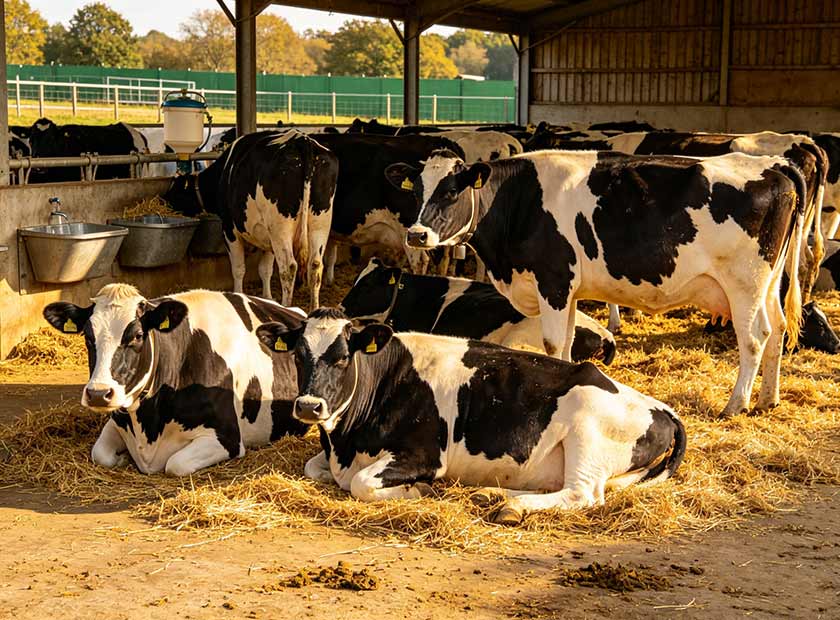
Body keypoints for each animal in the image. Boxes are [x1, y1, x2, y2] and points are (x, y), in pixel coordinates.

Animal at [42, 284, 307, 476]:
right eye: (87, 336)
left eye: (137, 335)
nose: (98, 393)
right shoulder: (117, 420)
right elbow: (101, 454)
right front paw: (121, 458)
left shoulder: (227, 437)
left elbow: (175, 464)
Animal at [163, 130, 338, 309]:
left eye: (175, 192)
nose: (164, 202)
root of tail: (302, 141)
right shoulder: (268, 238)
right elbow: (265, 269)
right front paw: (267, 298)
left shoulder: (229, 230)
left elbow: (239, 268)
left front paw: (239, 294)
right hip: (320, 223)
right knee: (315, 265)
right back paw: (313, 308)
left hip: (280, 228)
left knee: (289, 267)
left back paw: (287, 306)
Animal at [255, 308, 685, 523]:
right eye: (298, 354)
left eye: (344, 357)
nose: (308, 406)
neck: (345, 442)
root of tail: (662, 408)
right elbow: (313, 468)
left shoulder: (425, 455)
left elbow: (361, 484)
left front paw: (421, 491)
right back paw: (491, 495)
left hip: (587, 431)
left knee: (582, 494)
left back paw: (512, 508)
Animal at [394, 149, 806, 419]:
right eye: (415, 191)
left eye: (451, 191)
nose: (416, 235)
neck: (520, 201)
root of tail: (775, 167)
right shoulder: (568, 289)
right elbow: (567, 342)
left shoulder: (554, 279)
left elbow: (552, 341)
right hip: (769, 283)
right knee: (778, 329)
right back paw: (768, 399)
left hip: (745, 283)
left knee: (754, 337)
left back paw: (736, 405)